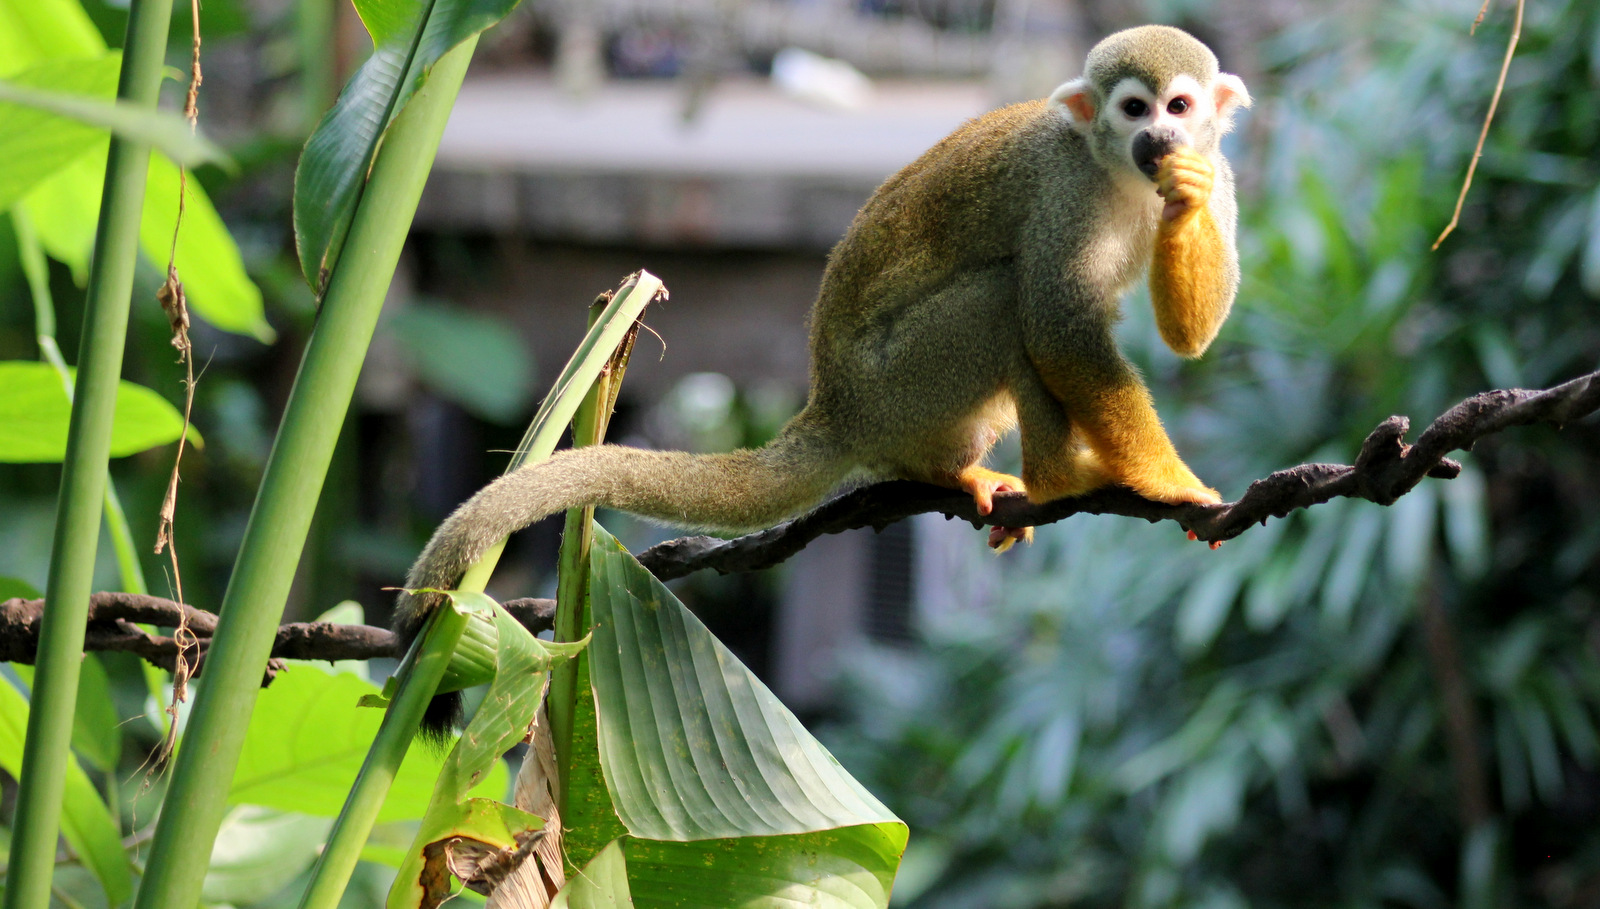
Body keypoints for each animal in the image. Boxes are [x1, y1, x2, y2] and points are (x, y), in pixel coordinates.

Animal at [396, 24, 1248, 656]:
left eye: (1179, 105)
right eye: (1134, 108)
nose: (1161, 138)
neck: (1120, 176)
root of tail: (832, 404)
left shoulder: (1225, 171)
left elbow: (1189, 337)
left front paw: (1185, 199)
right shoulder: (1062, 196)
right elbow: (1059, 328)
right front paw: (1168, 481)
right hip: (898, 381)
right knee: (1006, 298)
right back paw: (1057, 476)